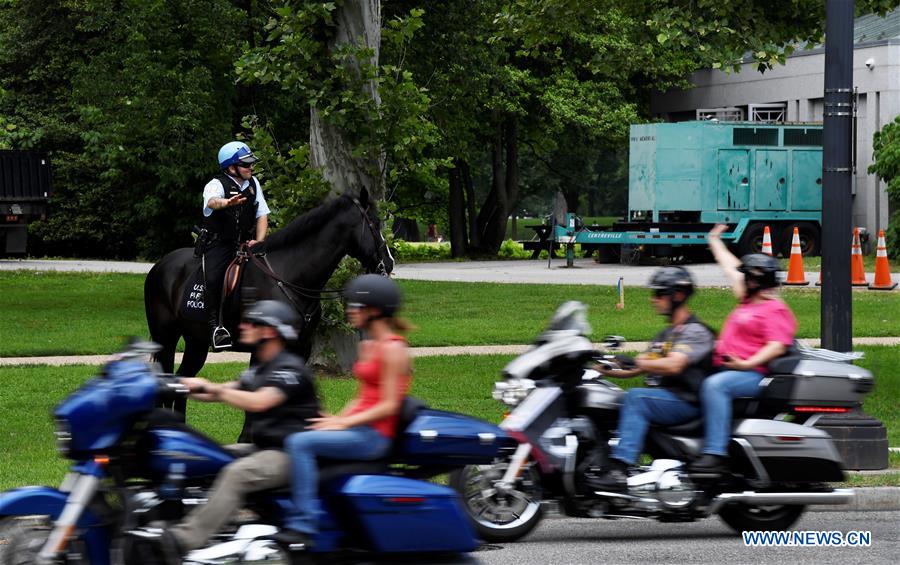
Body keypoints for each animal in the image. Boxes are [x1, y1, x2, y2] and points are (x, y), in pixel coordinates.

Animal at [145, 189, 394, 392]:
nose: (389, 263)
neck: (290, 275)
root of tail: (160, 266)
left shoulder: (300, 348)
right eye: (375, 223)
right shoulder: (261, 350)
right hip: (166, 338)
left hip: (196, 341)